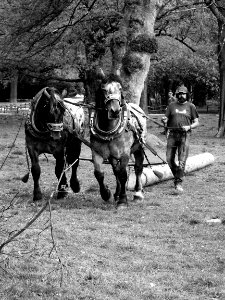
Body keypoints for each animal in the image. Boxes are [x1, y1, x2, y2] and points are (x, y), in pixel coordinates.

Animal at [90, 73, 147, 209]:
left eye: (120, 89)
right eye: (103, 89)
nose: (115, 111)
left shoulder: (125, 154)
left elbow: (123, 174)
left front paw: (122, 200)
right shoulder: (97, 153)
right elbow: (99, 173)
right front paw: (106, 193)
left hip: (139, 148)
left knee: (138, 168)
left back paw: (138, 193)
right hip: (113, 156)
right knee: (115, 171)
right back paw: (116, 193)